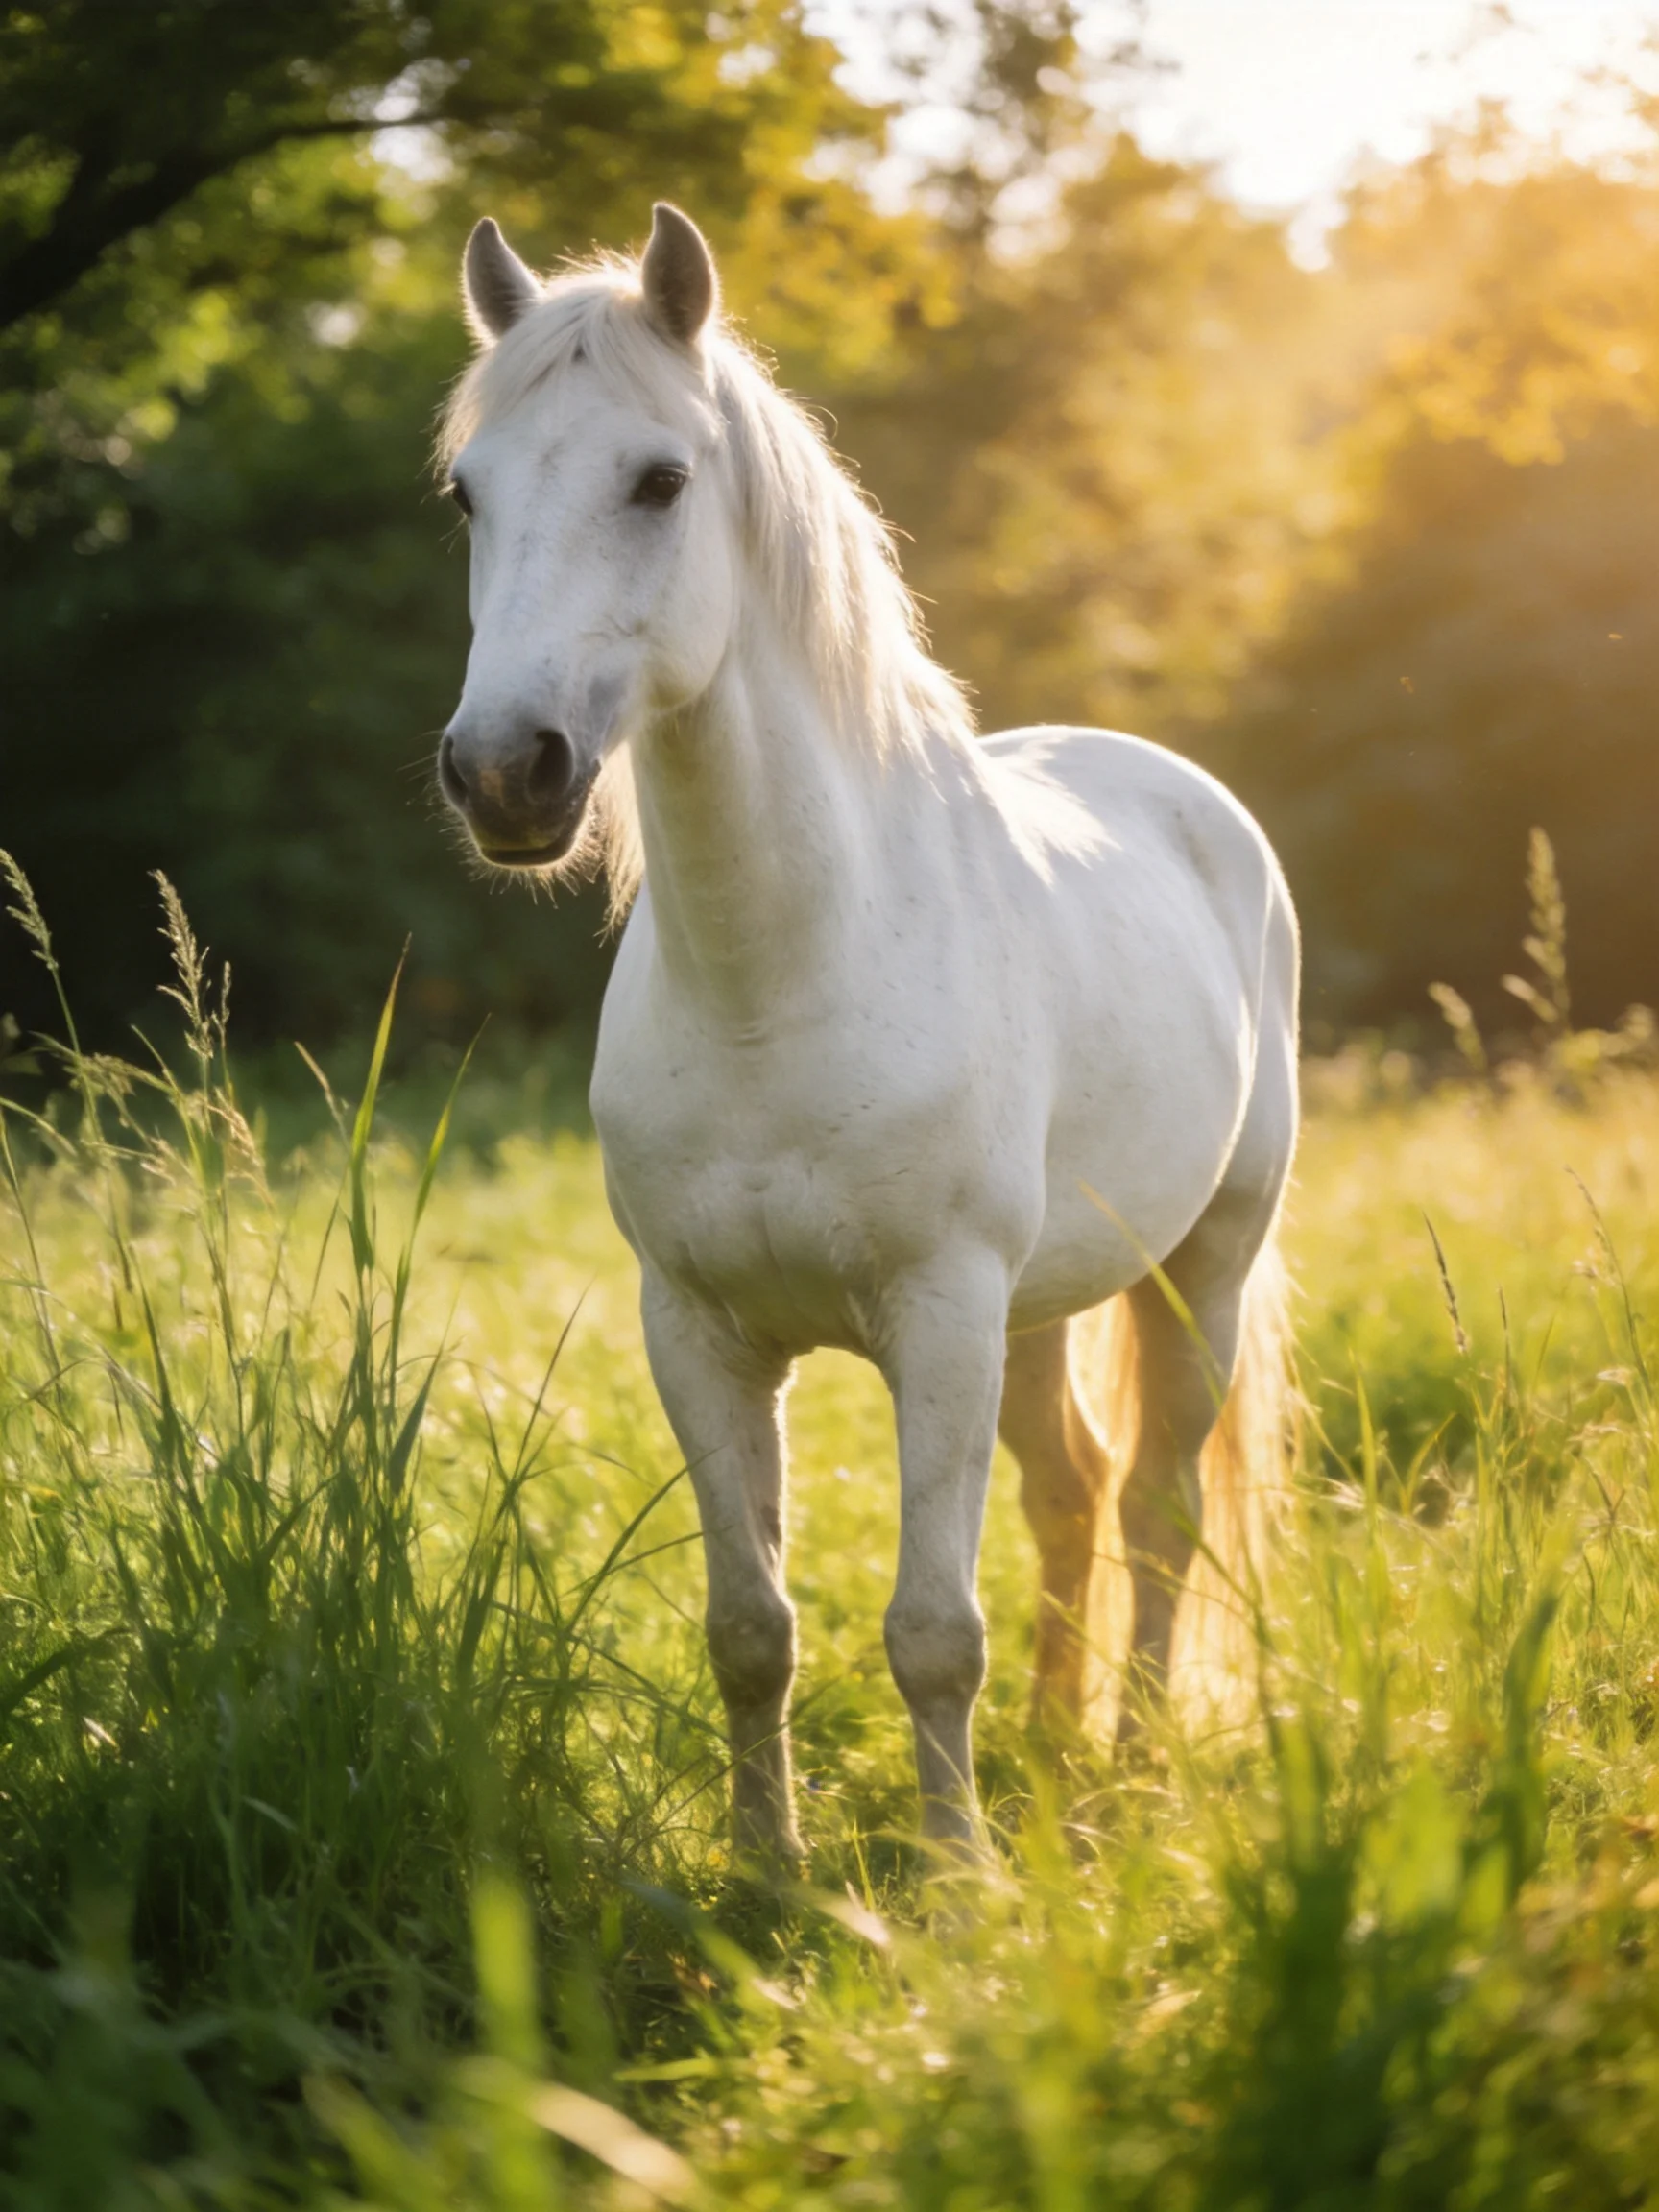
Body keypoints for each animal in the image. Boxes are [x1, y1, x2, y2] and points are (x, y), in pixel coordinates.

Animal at [434, 202, 1299, 1860]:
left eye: (659, 479)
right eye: (467, 492)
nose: (506, 770)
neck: (781, 985)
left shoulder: (941, 1317)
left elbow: (931, 1631)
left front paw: (956, 1879)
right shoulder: (700, 1334)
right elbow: (749, 1628)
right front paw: (768, 1872)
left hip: (1196, 1272)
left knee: (1157, 1504)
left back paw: (1134, 1766)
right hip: (1041, 1307)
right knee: (1075, 1491)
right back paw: (1056, 1747)